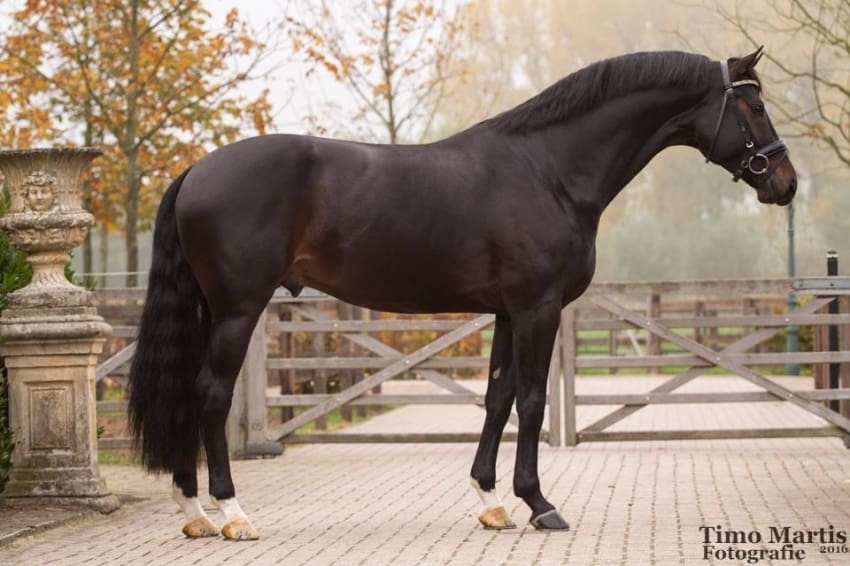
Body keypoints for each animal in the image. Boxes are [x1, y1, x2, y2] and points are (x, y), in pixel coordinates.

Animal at [128, 48, 796, 540]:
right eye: (755, 105)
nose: (786, 183)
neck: (549, 170)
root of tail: (196, 170)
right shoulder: (537, 309)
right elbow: (531, 401)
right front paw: (539, 503)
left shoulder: (506, 312)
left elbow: (498, 400)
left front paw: (491, 500)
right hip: (238, 311)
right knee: (210, 395)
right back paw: (231, 513)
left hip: (212, 311)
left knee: (189, 395)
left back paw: (193, 513)